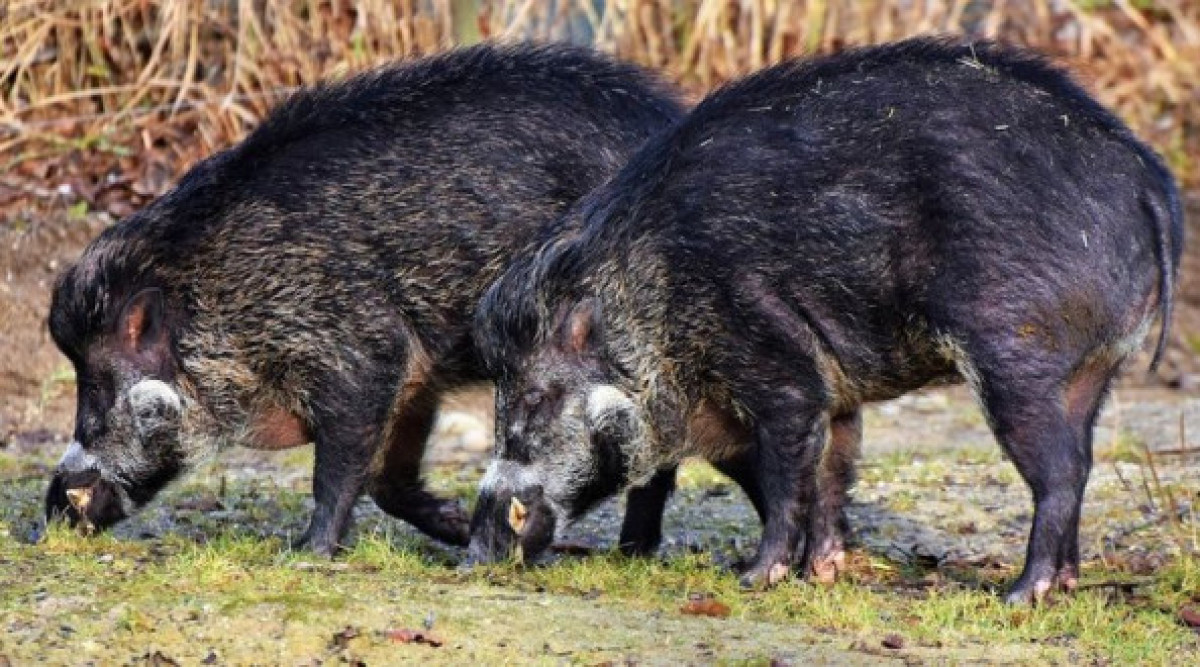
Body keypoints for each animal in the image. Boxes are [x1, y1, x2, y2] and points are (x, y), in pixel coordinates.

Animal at [44, 38, 686, 554]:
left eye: (98, 389)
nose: (49, 512)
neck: (220, 292)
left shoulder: (359, 350)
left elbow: (338, 468)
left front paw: (306, 552)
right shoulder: (415, 376)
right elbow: (387, 480)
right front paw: (456, 527)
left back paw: (629, 551)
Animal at [468, 40, 1180, 604]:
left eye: (534, 397)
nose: (474, 553)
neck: (651, 299)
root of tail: (1148, 175)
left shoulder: (778, 363)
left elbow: (788, 476)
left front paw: (755, 578)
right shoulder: (833, 396)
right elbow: (833, 472)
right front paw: (823, 573)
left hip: (1017, 355)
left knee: (1060, 472)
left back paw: (1021, 594)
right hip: (1094, 369)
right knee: (1083, 459)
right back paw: (1063, 584)